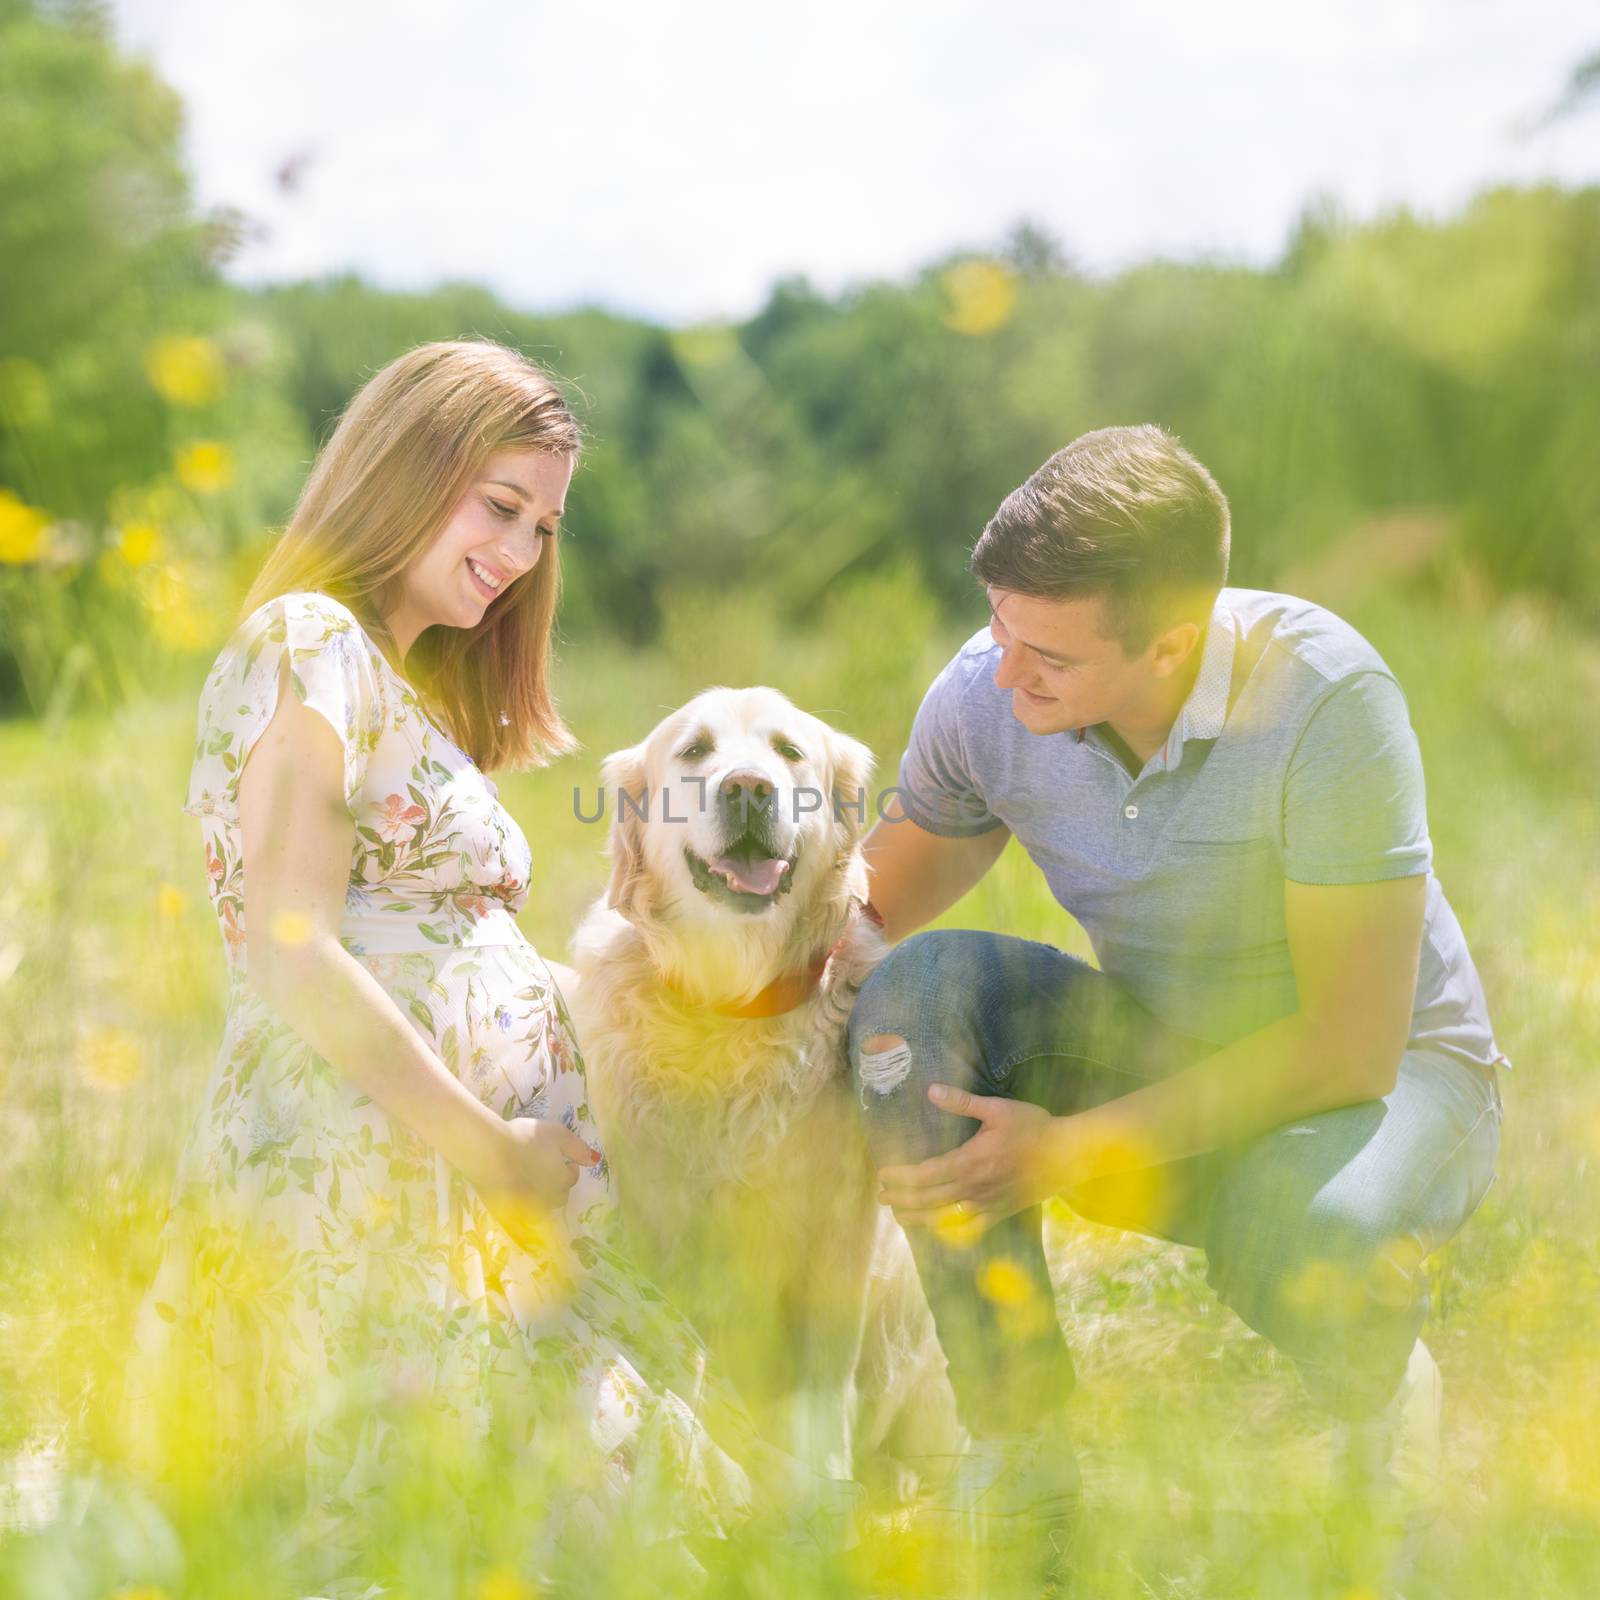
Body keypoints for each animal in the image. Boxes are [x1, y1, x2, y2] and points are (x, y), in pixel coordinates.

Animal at [569, 684, 953, 1484]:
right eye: (694, 751)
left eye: (788, 751)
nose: (748, 787)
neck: (732, 1004)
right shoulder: (655, 1221)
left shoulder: (838, 1231)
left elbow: (820, 1383)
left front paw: (818, 1484)